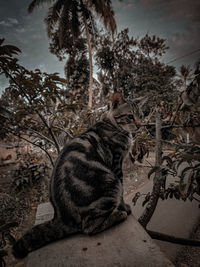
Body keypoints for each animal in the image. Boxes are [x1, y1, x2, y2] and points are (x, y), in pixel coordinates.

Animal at [12, 91, 141, 258]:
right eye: (130, 116)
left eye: (140, 115)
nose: (139, 125)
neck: (112, 124)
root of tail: (61, 217)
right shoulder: (117, 163)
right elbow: (122, 193)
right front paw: (125, 208)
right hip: (110, 182)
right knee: (89, 228)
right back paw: (118, 215)